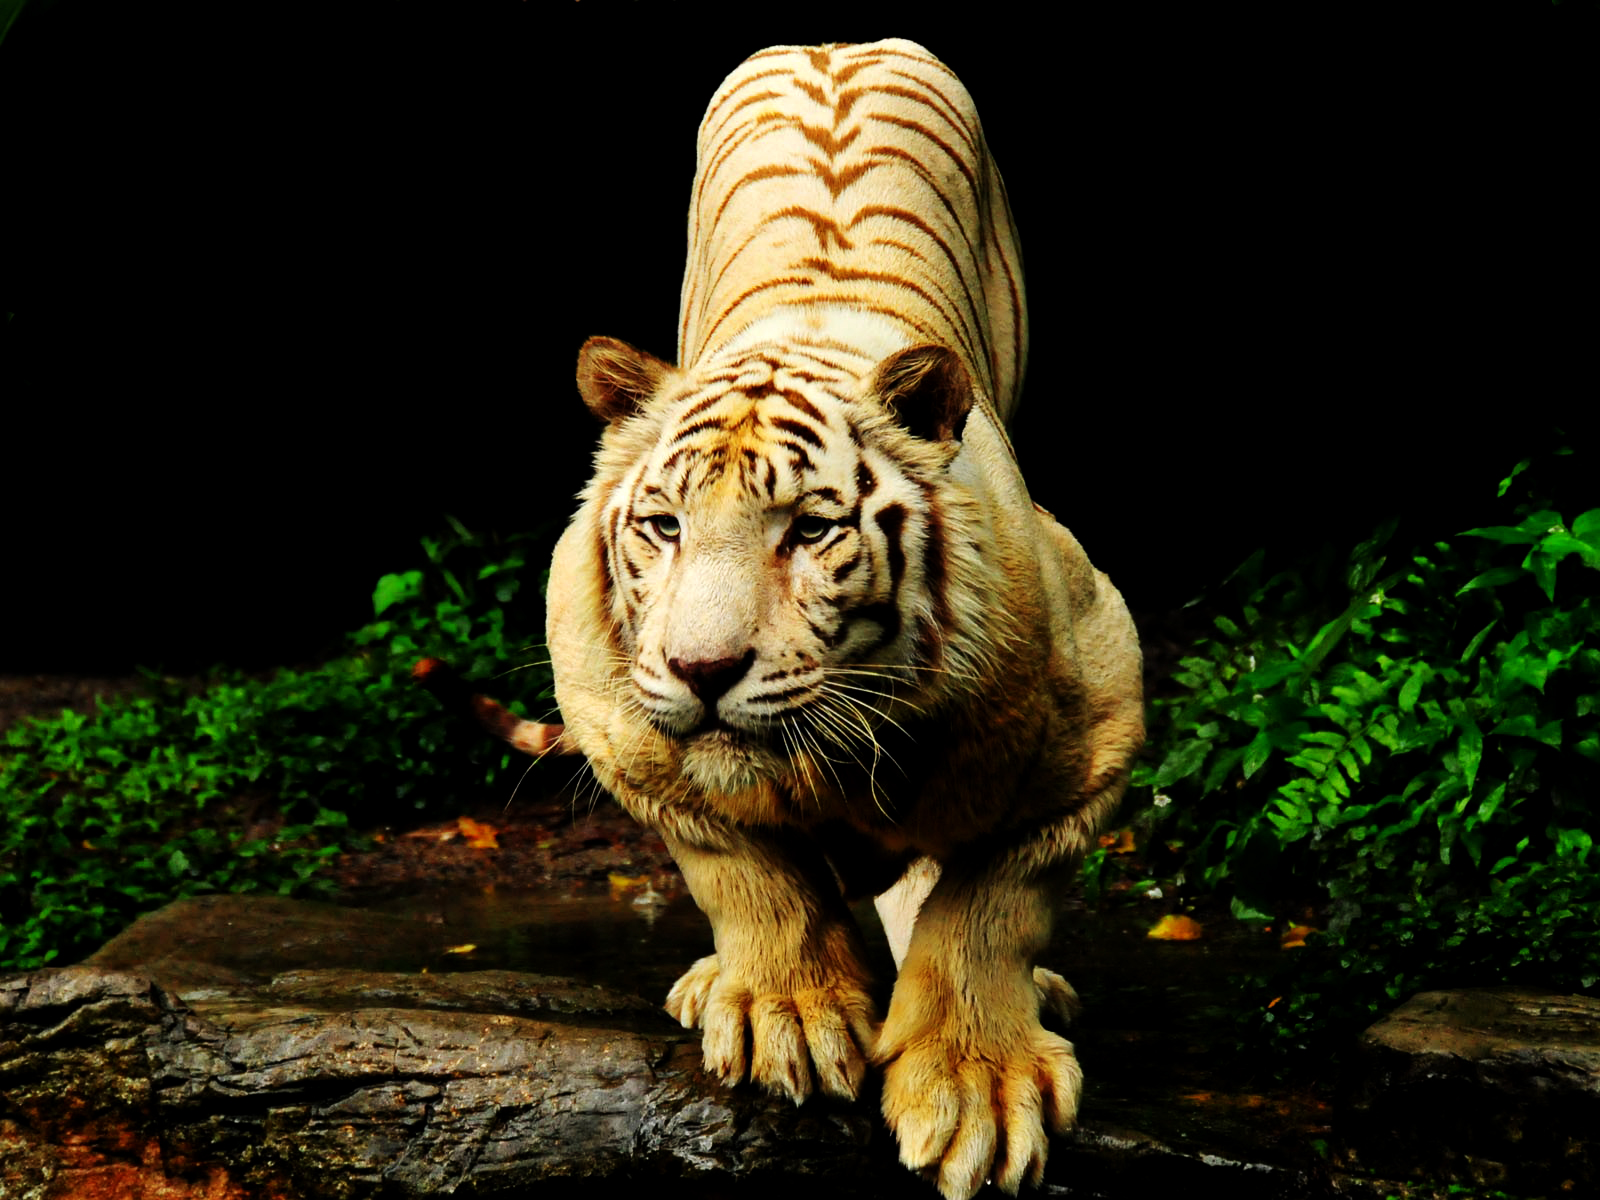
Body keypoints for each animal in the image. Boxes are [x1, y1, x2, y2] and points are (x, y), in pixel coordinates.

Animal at [514, 38, 1140, 1200]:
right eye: (663, 526)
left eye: (808, 530)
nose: (701, 667)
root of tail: (835, 39)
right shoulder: (620, 723)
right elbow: (746, 871)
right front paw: (786, 1016)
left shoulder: (1098, 715)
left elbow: (990, 905)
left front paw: (976, 1085)